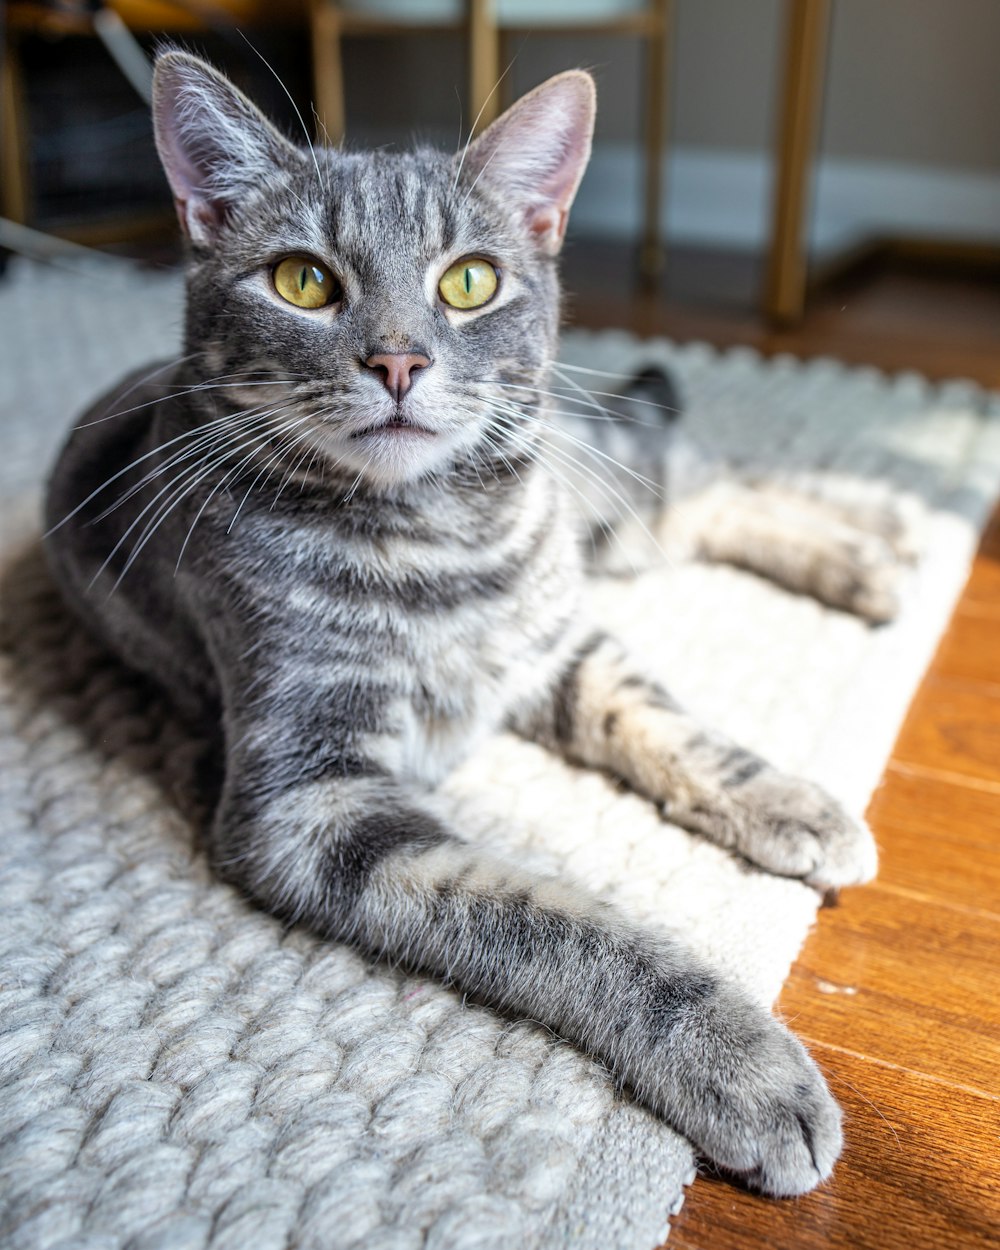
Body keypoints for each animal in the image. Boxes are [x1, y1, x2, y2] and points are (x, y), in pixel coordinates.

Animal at [45, 51, 875, 1200]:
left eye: (468, 282)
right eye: (302, 280)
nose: (398, 362)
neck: (435, 540)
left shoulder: (557, 640)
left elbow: (668, 722)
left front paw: (787, 795)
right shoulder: (311, 797)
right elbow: (549, 918)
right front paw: (739, 1058)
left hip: (592, 490)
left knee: (695, 475)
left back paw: (883, 536)